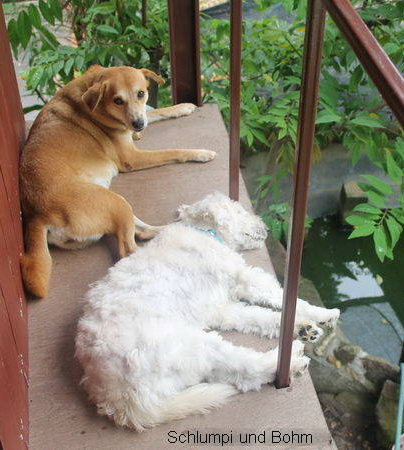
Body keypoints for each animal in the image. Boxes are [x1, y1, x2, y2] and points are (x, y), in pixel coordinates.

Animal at [19, 65, 215, 298]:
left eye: (141, 93)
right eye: (117, 100)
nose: (138, 125)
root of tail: (37, 216)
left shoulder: (141, 117)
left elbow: (155, 111)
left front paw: (182, 107)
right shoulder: (132, 157)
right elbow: (173, 151)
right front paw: (200, 153)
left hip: (117, 203)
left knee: (141, 231)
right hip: (115, 203)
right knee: (127, 250)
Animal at [74, 192, 340, 430]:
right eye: (240, 211)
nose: (265, 226)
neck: (206, 233)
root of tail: (120, 401)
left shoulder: (221, 308)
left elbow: (258, 317)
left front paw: (304, 325)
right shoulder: (245, 278)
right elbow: (280, 296)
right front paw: (322, 313)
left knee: (242, 376)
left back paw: (300, 338)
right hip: (191, 345)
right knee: (248, 368)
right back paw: (293, 358)